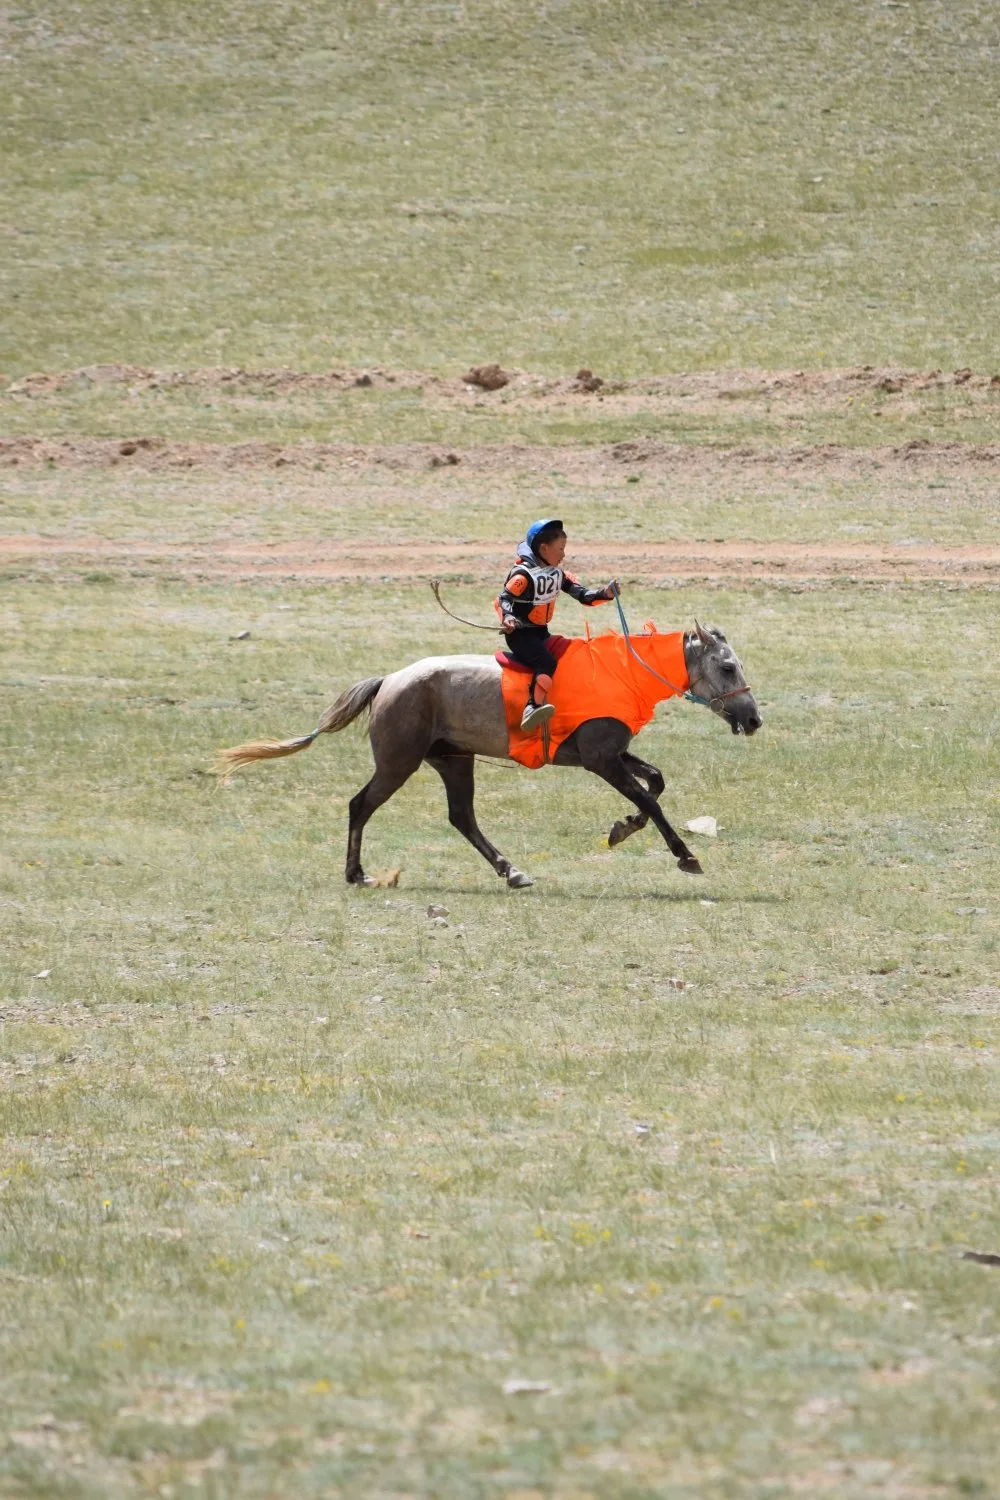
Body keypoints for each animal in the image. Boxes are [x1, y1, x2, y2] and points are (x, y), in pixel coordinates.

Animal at [216, 622, 761, 889]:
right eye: (727, 667)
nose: (754, 719)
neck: (618, 672)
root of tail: (388, 681)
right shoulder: (600, 760)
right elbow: (650, 798)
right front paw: (685, 855)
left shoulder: (610, 755)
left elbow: (656, 782)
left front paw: (623, 827)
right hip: (398, 763)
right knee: (360, 805)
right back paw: (356, 874)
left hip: (454, 762)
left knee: (461, 817)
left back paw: (511, 871)